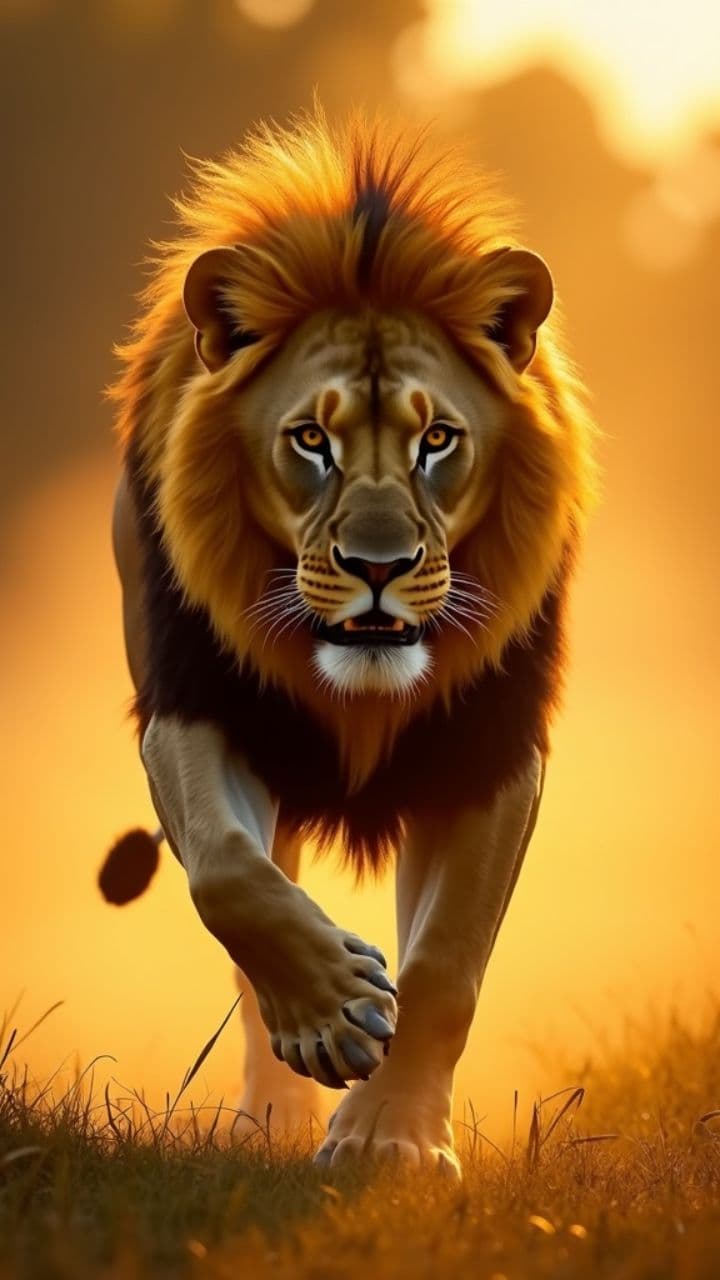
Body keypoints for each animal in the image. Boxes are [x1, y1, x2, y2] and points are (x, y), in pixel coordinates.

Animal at [102, 107, 596, 1175]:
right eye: (311, 441)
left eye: (438, 440)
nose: (379, 565)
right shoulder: (194, 706)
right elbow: (225, 871)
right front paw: (334, 1012)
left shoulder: (490, 749)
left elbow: (447, 958)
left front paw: (391, 1141)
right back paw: (276, 1108)